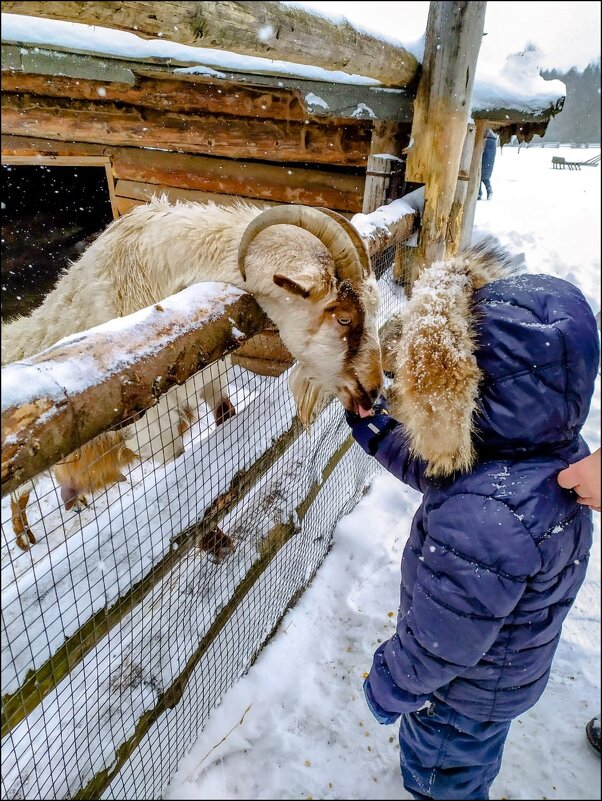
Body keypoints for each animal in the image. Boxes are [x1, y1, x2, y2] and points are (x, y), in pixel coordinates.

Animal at [1, 198, 380, 548]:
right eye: (343, 318)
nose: (372, 392)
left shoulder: (209, 378)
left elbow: (224, 418)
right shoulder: (153, 427)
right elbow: (181, 479)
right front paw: (215, 543)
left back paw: (76, 501)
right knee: (17, 499)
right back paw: (27, 540)